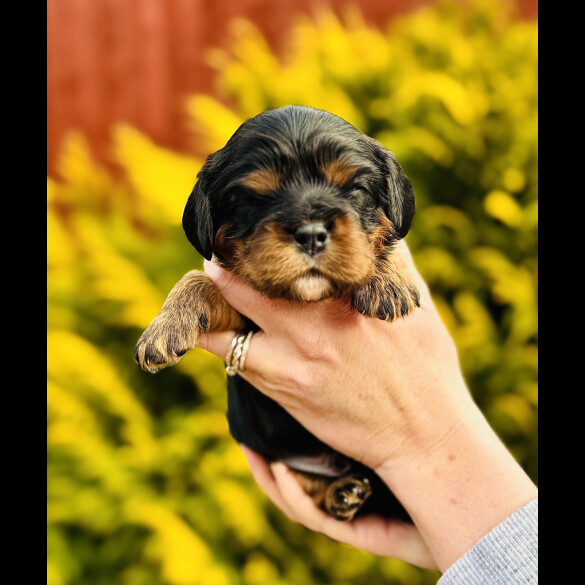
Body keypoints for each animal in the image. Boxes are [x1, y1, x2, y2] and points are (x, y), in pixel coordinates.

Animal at [135, 105, 418, 520]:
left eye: (355, 190)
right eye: (254, 198)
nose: (311, 234)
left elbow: (377, 249)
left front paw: (387, 280)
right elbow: (196, 278)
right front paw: (164, 329)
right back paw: (343, 493)